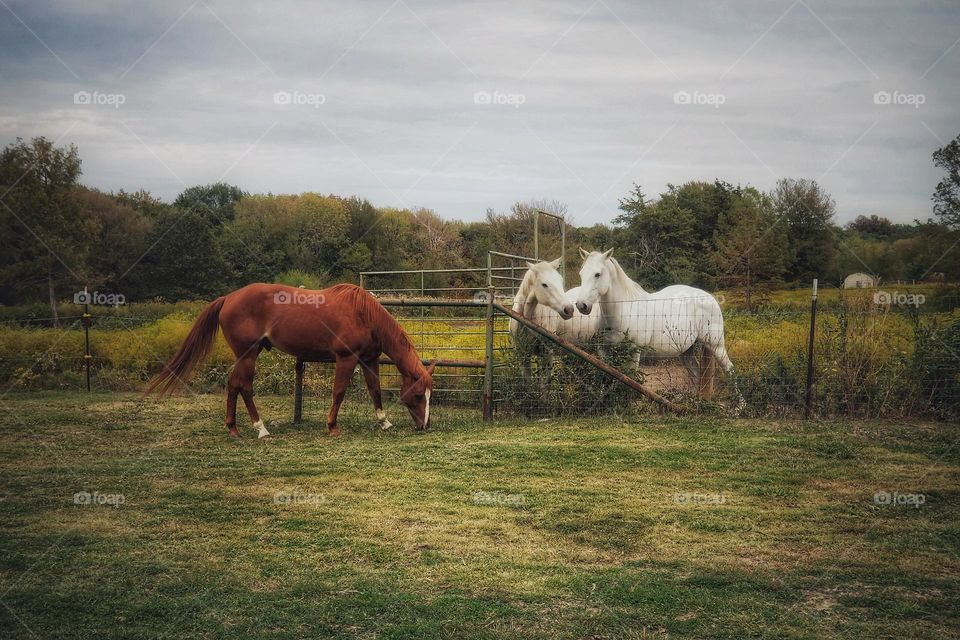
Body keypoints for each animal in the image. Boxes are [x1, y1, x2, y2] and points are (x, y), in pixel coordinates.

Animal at [146, 284, 436, 438]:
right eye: (418, 395)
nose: (425, 425)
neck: (364, 314)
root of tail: (228, 297)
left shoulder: (369, 359)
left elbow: (375, 390)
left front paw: (384, 422)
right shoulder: (346, 359)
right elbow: (339, 392)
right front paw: (332, 426)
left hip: (246, 355)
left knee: (233, 385)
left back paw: (234, 428)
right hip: (248, 354)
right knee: (245, 387)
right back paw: (261, 429)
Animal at [576, 249, 744, 404]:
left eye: (597, 274)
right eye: (581, 274)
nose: (581, 305)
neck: (623, 310)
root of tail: (710, 298)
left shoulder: (634, 351)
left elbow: (631, 376)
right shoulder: (603, 351)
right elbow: (605, 376)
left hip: (716, 345)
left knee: (730, 370)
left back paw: (739, 406)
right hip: (687, 351)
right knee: (696, 374)